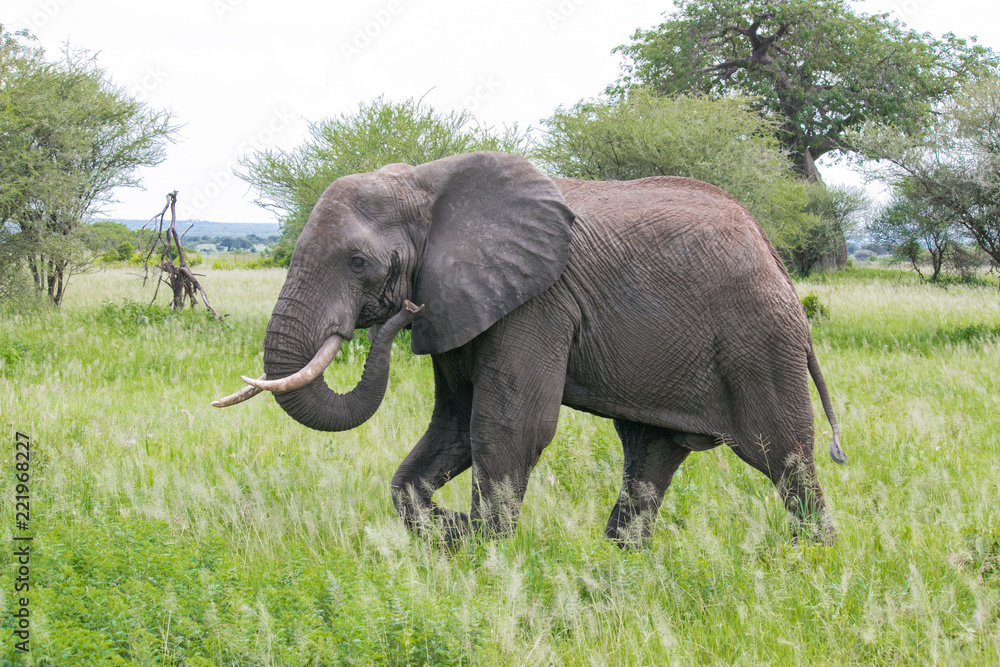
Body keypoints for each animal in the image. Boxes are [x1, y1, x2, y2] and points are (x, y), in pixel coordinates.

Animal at [213, 151, 847, 546]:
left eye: (358, 262)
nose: (403, 312)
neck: (424, 183)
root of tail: (773, 254)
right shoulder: (462, 300)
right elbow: (453, 424)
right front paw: (448, 529)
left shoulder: (537, 301)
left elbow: (508, 424)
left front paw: (481, 545)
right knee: (650, 455)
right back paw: (621, 562)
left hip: (760, 341)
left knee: (786, 458)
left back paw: (812, 561)